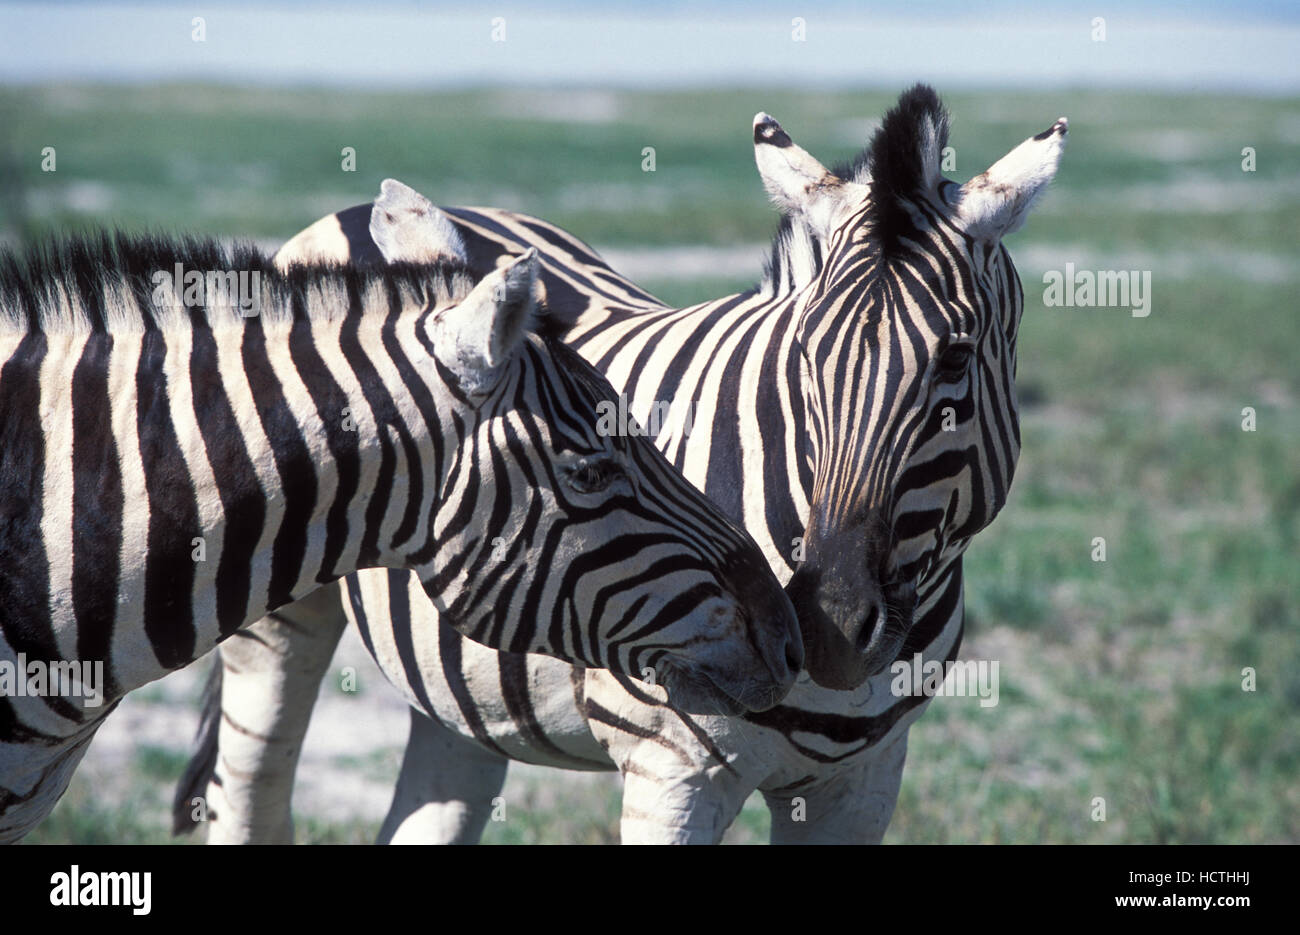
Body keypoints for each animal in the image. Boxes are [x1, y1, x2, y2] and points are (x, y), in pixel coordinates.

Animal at [175, 87, 1066, 842]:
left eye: (955, 359)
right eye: (806, 352)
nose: (829, 630)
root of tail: (358, 207)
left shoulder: (864, 779)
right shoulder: (673, 770)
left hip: (460, 684)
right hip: (277, 620)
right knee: (250, 795)